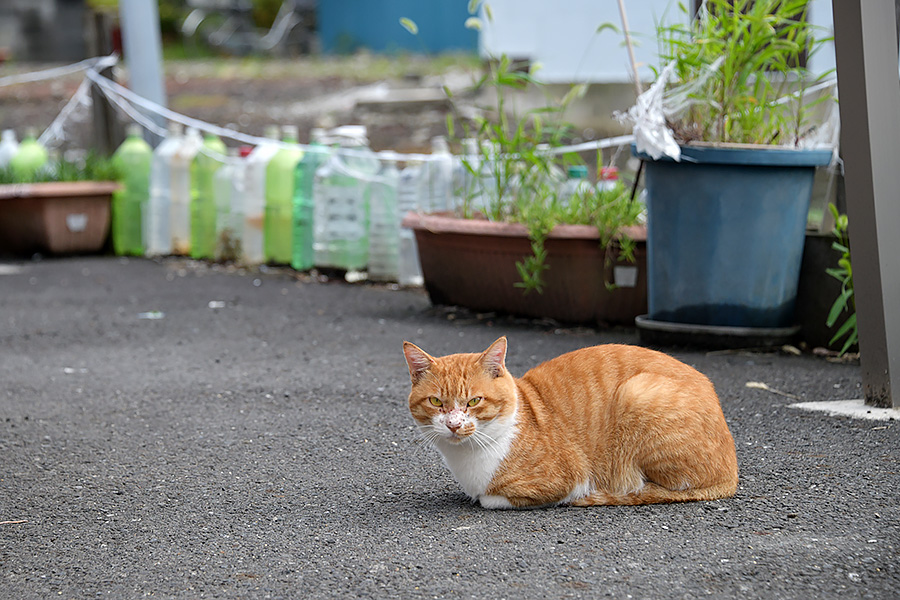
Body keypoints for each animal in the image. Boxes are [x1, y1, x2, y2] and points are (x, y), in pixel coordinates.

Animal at [402, 336, 740, 508]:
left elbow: (490, 499)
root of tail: (732, 474)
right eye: (436, 402)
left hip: (637, 392)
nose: (454, 425)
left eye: (473, 401)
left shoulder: (565, 480)